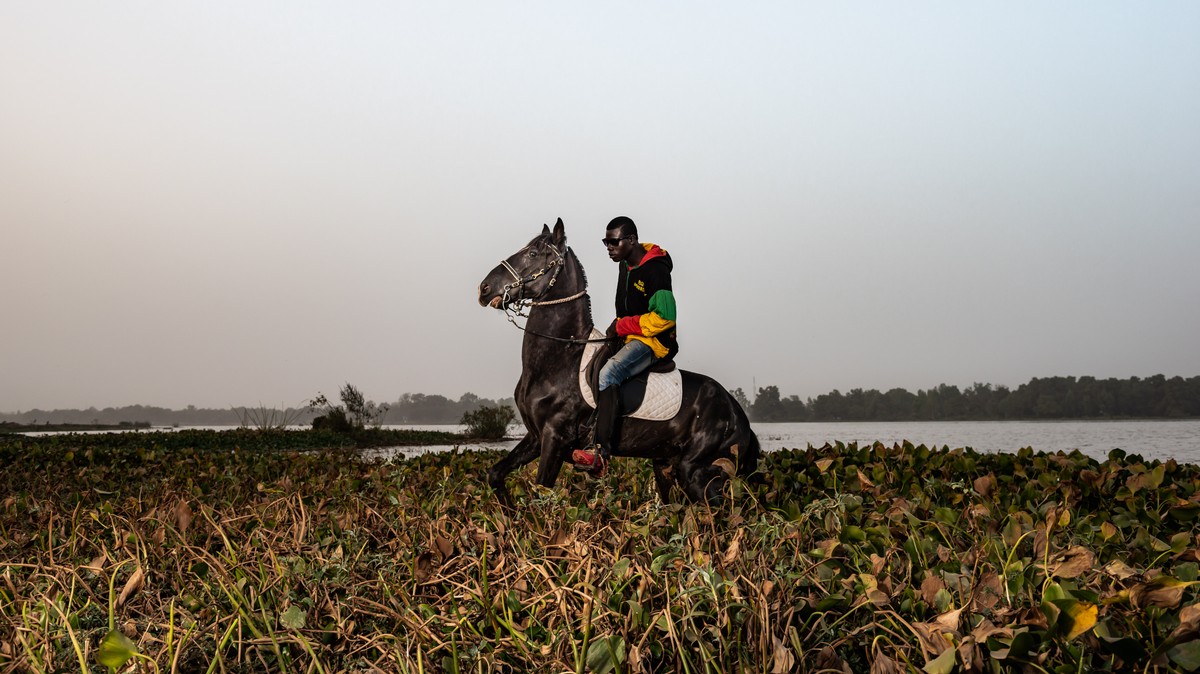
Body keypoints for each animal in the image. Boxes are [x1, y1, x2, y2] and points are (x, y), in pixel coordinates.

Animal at [477, 218, 758, 501]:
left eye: (533, 253)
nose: (484, 288)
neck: (560, 358)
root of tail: (737, 412)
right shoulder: (535, 437)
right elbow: (495, 474)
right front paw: (507, 510)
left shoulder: (554, 438)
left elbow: (541, 494)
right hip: (666, 466)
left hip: (697, 472)